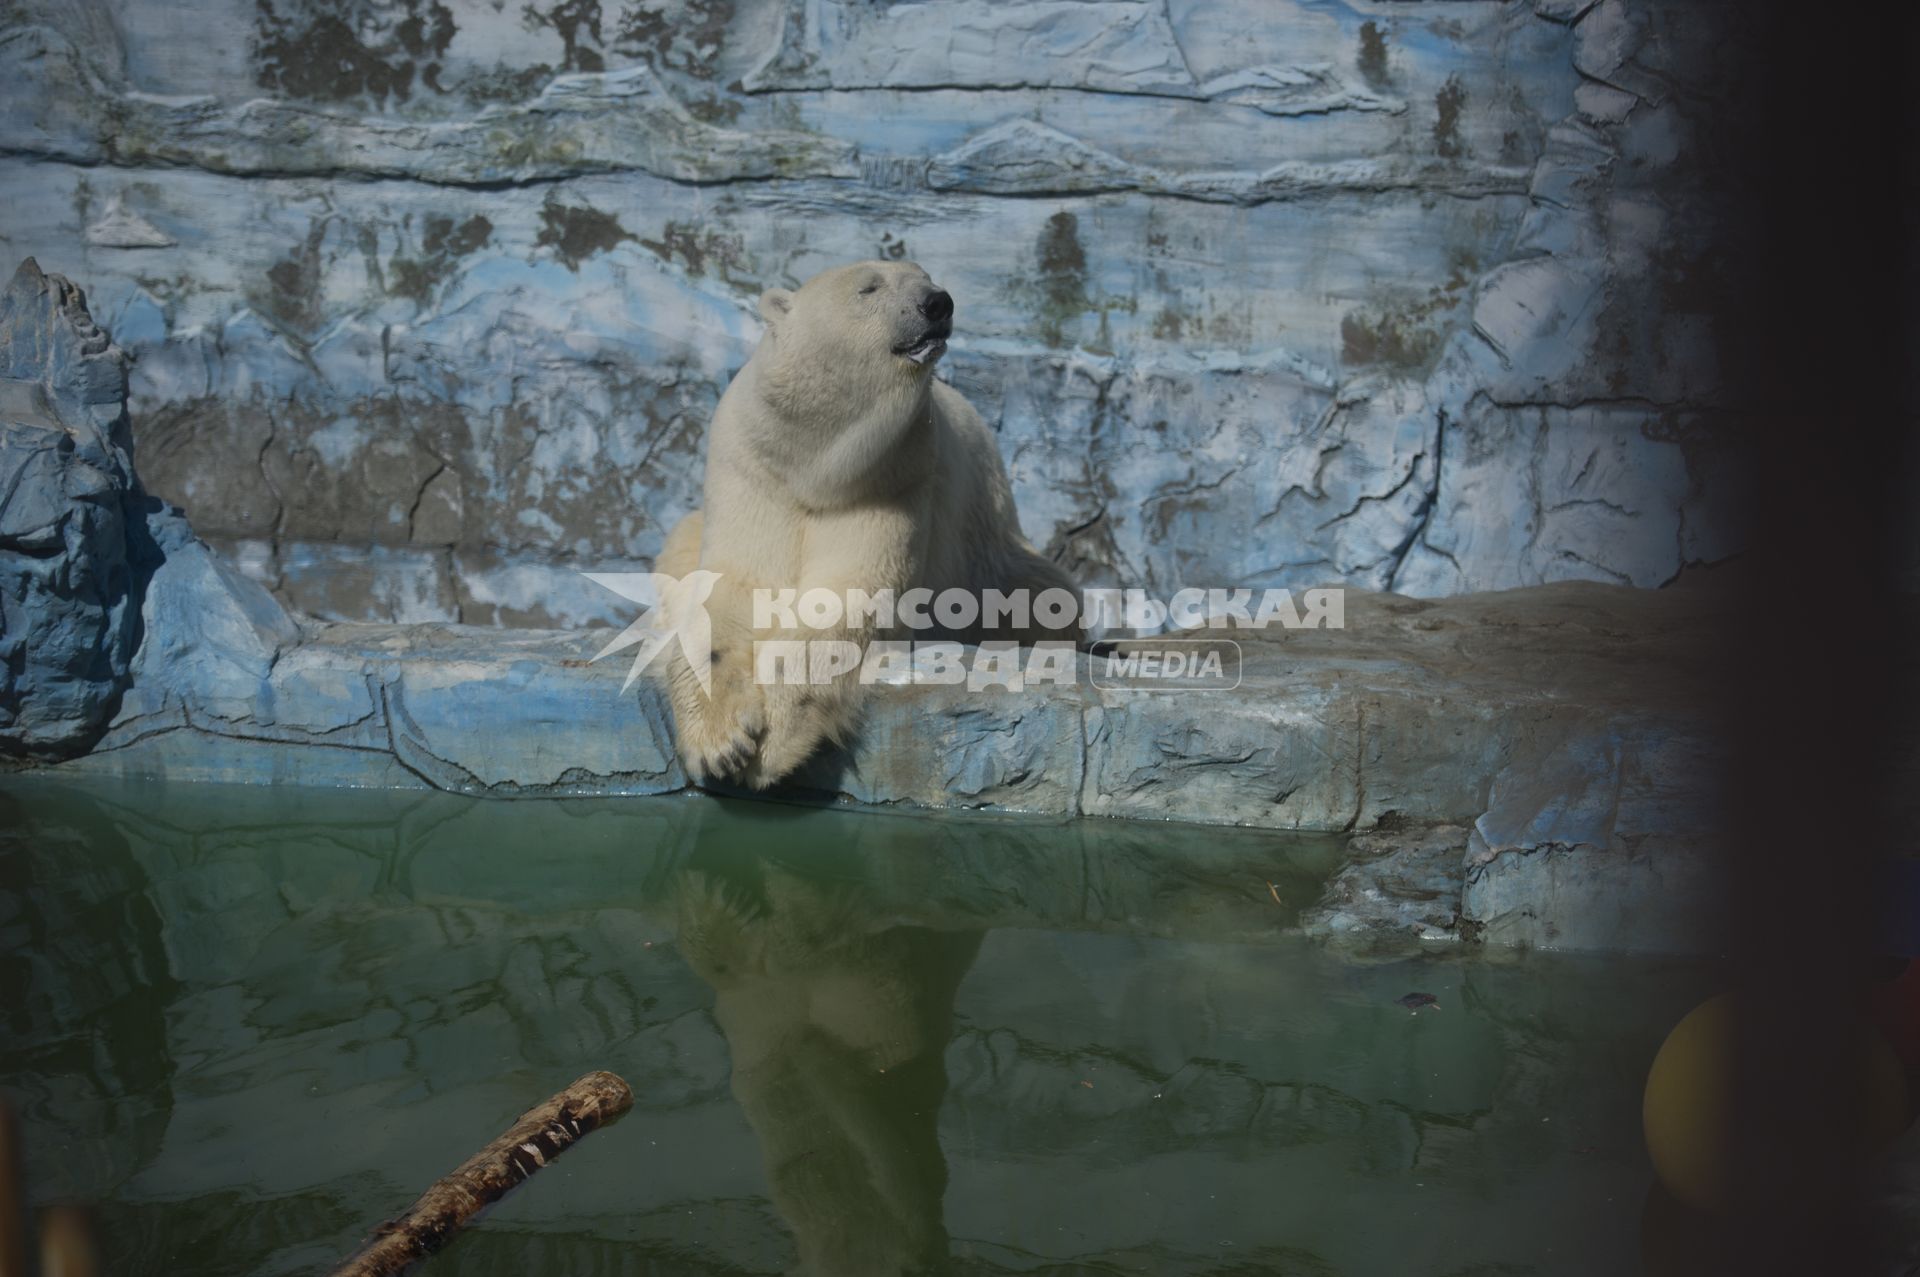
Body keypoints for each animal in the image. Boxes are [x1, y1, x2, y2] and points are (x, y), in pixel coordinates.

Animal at [656, 261, 1082, 787]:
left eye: (926, 277)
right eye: (869, 288)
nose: (937, 303)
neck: (813, 457)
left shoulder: (892, 475)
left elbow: (850, 590)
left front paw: (772, 741)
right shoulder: (753, 466)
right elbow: (735, 587)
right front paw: (720, 742)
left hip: (989, 553)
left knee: (1044, 597)